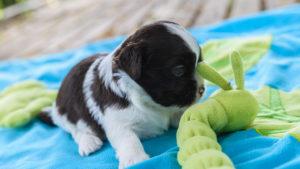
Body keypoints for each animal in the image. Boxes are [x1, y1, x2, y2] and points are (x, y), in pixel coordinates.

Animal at [39, 20, 204, 168]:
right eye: (178, 70)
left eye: (199, 62)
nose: (202, 89)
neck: (146, 99)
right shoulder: (117, 121)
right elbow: (128, 138)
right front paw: (135, 159)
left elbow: (181, 114)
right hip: (66, 114)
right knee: (75, 131)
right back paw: (88, 143)